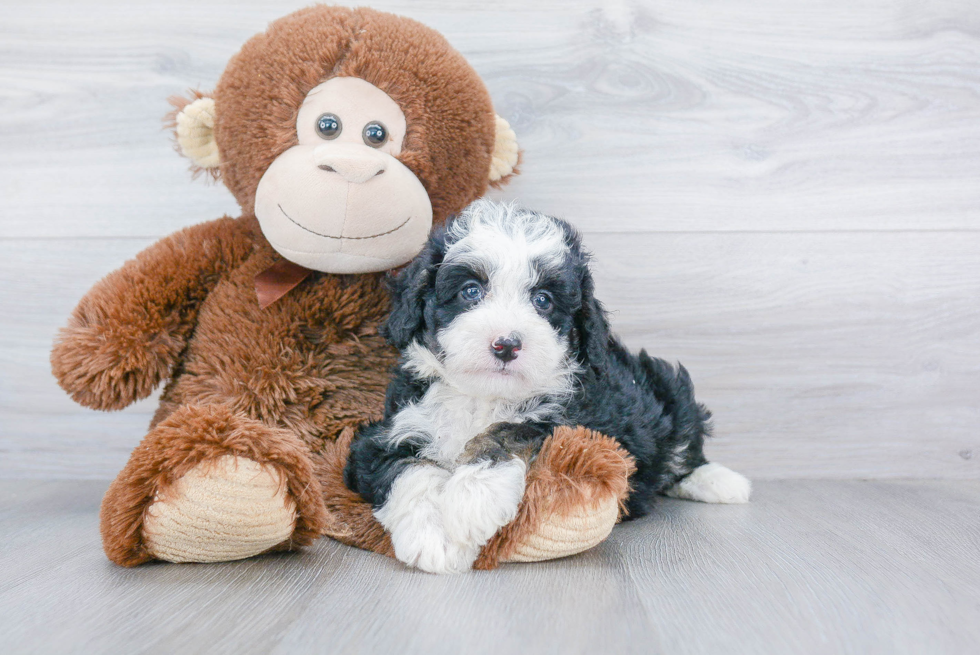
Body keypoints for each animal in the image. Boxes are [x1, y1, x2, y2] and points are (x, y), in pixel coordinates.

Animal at [344, 200, 752, 576]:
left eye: (543, 300)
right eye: (470, 291)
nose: (506, 344)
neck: (484, 396)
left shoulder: (585, 426)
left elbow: (510, 432)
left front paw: (472, 496)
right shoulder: (383, 435)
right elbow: (409, 470)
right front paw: (433, 538)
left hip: (668, 388)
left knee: (685, 446)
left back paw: (721, 482)